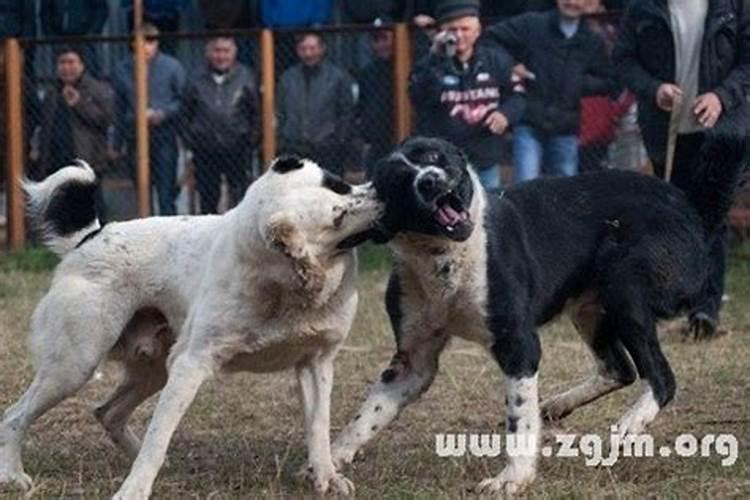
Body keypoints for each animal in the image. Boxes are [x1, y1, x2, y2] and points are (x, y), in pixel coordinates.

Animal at [0, 155, 382, 496]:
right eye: (338, 214)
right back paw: (13, 475)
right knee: (15, 416)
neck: (283, 286)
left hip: (152, 369)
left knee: (107, 413)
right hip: (74, 367)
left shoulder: (315, 363)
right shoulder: (189, 365)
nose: (382, 192)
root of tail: (90, 237)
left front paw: (327, 478)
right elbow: (158, 435)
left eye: (339, 183)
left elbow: (318, 430)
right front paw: (134, 490)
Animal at [332, 131, 748, 494]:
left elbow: (519, 419)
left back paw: (627, 426)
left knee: (661, 378)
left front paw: (512, 479)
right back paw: (558, 405)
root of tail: (690, 208)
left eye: (433, 156)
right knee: (620, 368)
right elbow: (367, 415)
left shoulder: (519, 346)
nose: (431, 181)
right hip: (590, 308)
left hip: (625, 287)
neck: (445, 259)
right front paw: (330, 462)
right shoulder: (413, 361)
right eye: (400, 180)